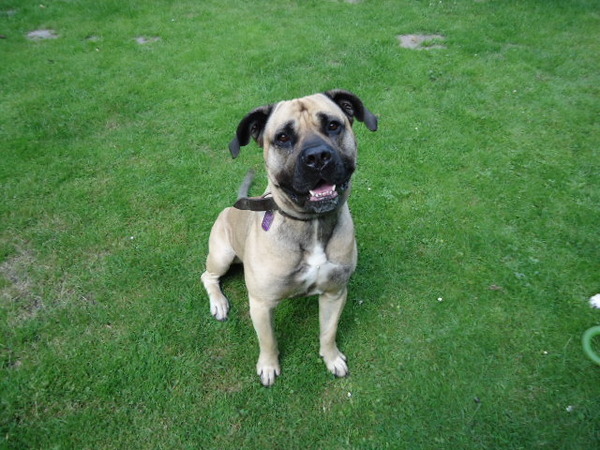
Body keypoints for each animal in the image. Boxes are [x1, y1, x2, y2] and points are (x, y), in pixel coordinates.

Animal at [204, 89, 378, 384]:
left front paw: (331, 358)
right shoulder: (261, 304)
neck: (312, 224)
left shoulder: (335, 292)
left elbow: (328, 331)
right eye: (283, 137)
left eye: (333, 125)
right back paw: (219, 303)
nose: (318, 156)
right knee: (208, 277)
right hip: (222, 254)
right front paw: (268, 366)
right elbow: (268, 341)